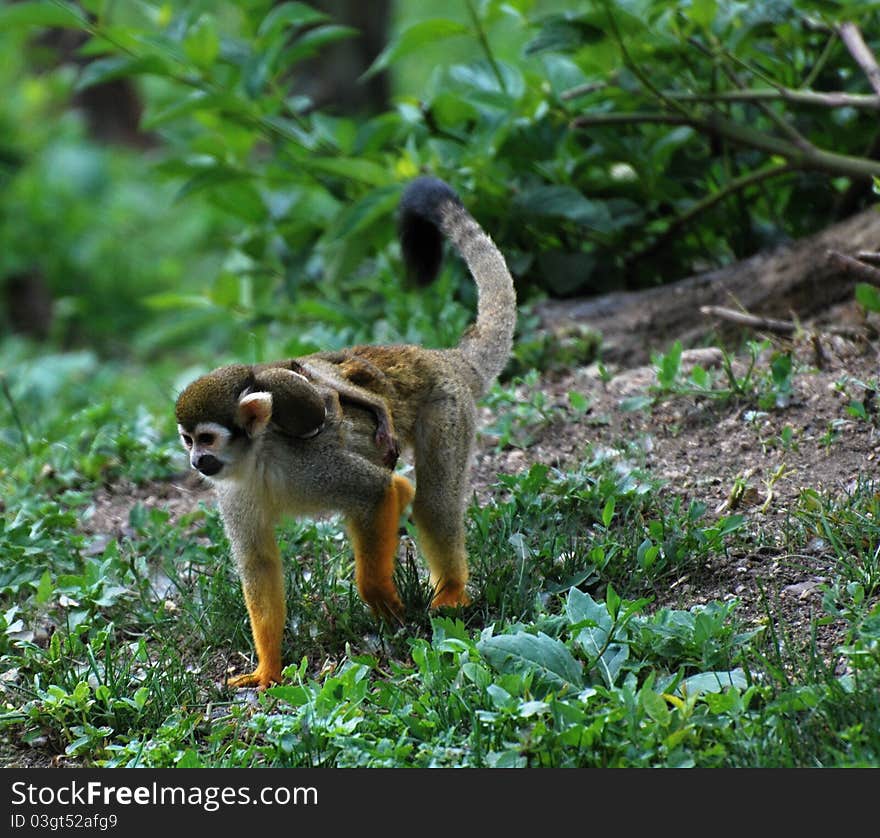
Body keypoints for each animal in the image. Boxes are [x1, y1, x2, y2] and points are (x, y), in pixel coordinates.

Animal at [175, 177, 516, 688]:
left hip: (447, 405)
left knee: (431, 500)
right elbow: (259, 565)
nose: (197, 462)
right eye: (187, 439)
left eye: (208, 439)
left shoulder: (311, 463)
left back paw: (451, 592)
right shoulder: (232, 492)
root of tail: (442, 357)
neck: (258, 461)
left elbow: (374, 494)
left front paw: (383, 601)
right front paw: (268, 668)